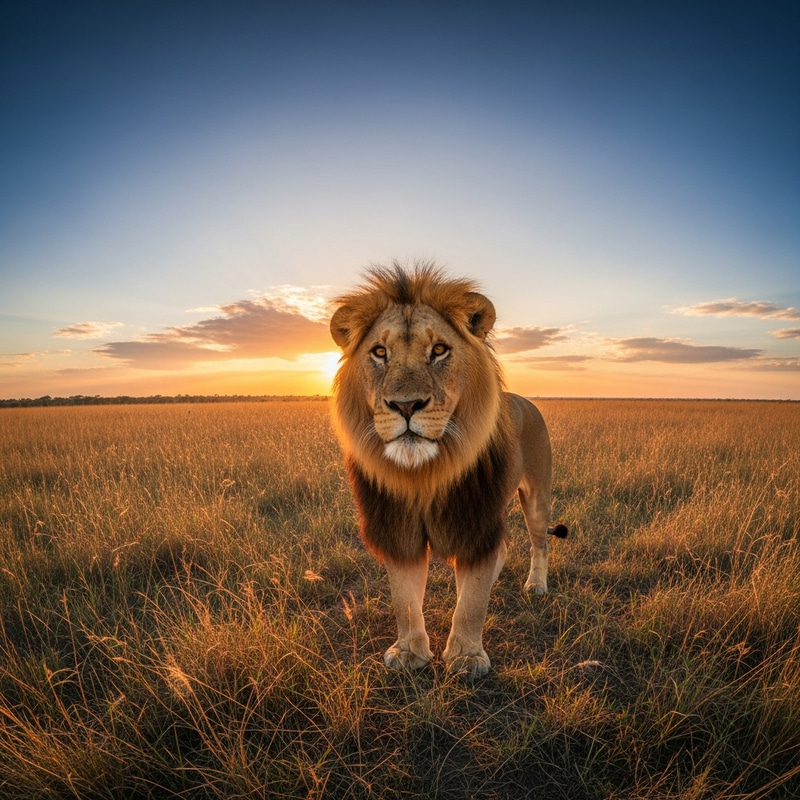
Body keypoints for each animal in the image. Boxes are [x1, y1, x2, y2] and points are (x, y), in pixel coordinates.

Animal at [330, 263, 567, 677]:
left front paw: (467, 656)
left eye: (439, 350)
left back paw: (536, 585)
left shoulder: (476, 520)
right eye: (380, 352)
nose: (405, 405)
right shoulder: (399, 527)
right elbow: (405, 599)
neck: (425, 474)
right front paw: (409, 651)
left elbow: (472, 601)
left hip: (536, 496)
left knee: (539, 542)